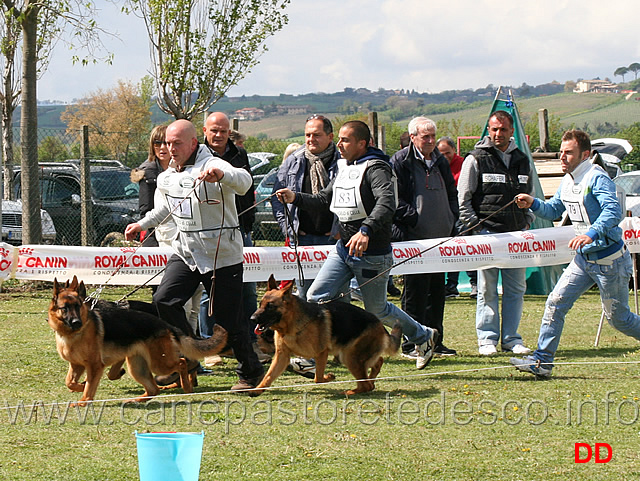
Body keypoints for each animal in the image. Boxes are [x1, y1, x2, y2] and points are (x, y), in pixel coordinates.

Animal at [45, 276, 225, 404]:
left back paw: (185, 386)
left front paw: (83, 400)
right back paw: (140, 398)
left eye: (77, 306)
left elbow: (90, 387)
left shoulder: (95, 365)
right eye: (65, 308)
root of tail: (164, 324)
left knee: (182, 363)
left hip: (159, 363)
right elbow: (70, 382)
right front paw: (80, 386)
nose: (77, 322)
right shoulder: (77, 364)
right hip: (138, 367)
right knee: (155, 388)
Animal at [252, 276, 402, 396]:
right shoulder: (281, 356)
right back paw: (369, 379)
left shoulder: (321, 354)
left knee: (366, 384)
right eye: (260, 304)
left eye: (270, 306)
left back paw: (349, 392)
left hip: (350, 358)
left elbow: (317, 378)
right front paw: (257, 390)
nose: (252, 318)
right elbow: (268, 376)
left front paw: (328, 377)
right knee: (377, 365)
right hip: (355, 356)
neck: (292, 325)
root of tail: (380, 325)